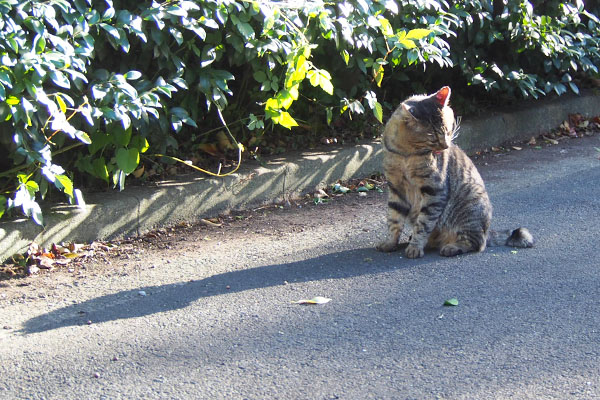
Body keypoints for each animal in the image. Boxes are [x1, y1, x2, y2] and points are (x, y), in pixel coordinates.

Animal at [378, 86, 532, 258]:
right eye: (432, 139)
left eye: (447, 130)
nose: (445, 146)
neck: (406, 153)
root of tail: (487, 232)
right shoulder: (396, 187)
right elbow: (394, 219)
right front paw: (390, 242)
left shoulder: (435, 190)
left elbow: (423, 224)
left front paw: (415, 247)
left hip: (469, 207)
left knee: (477, 243)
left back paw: (452, 247)